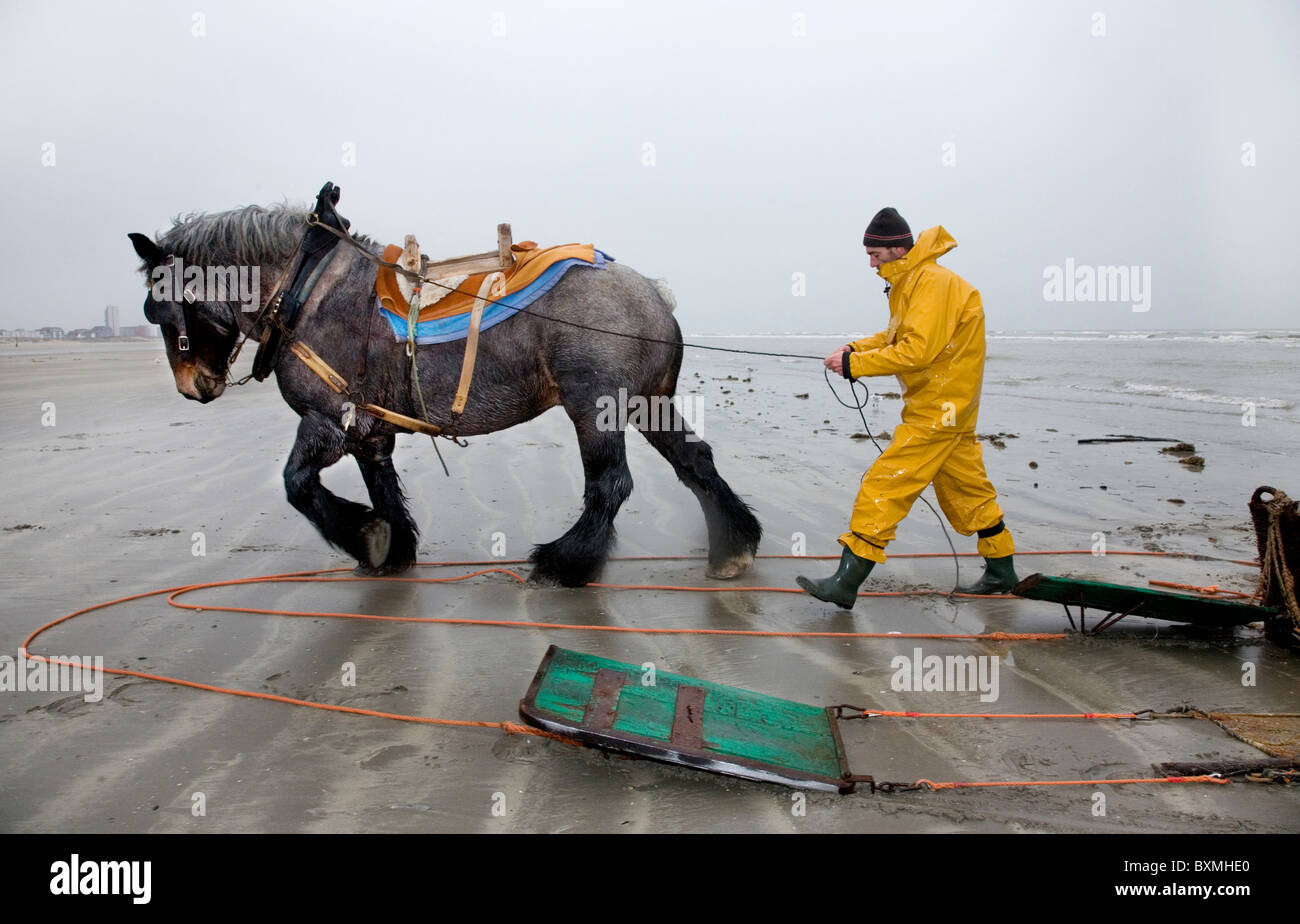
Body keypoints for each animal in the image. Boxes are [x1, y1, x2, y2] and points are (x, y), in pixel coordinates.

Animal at [127, 187, 762, 586]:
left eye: (159, 309)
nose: (193, 386)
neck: (307, 289)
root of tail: (655, 293)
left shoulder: (327, 421)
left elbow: (298, 484)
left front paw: (363, 537)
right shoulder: (368, 430)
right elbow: (382, 488)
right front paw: (391, 550)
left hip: (595, 407)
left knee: (611, 484)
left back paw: (566, 563)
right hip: (650, 403)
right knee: (697, 462)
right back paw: (734, 546)